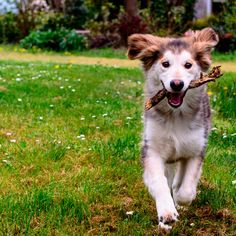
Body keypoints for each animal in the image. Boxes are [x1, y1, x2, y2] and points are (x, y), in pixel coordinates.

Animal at [128, 27, 218, 230]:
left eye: (188, 65)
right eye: (165, 64)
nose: (176, 84)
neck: (176, 116)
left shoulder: (195, 149)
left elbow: (186, 187)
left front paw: (181, 199)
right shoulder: (152, 149)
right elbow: (159, 183)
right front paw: (167, 214)